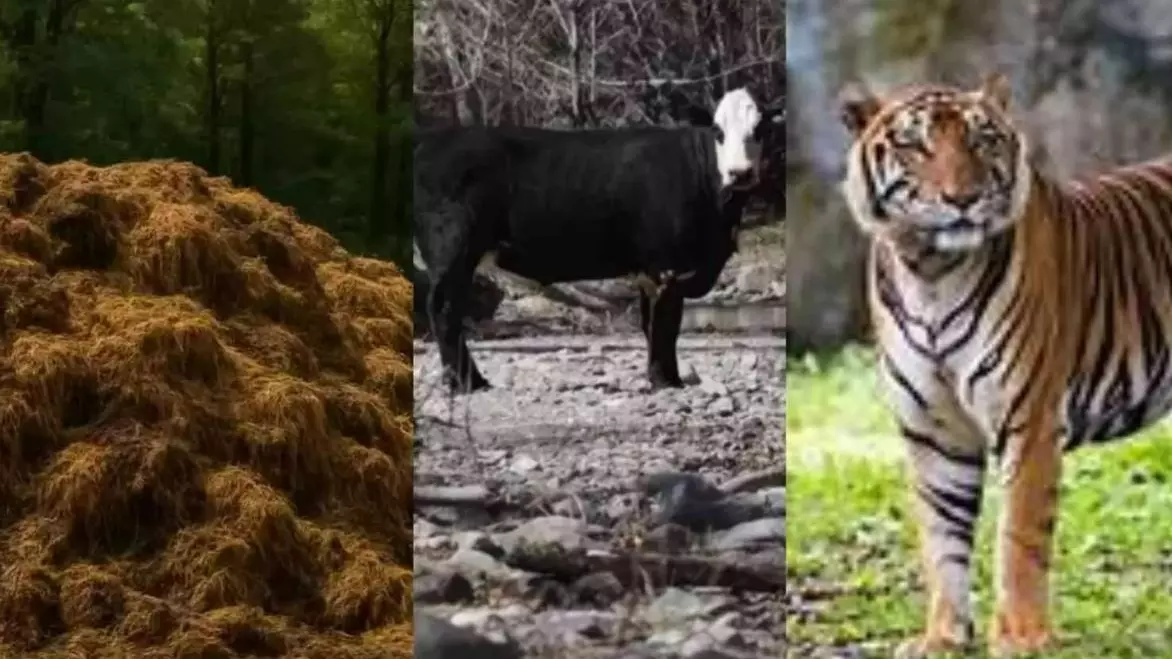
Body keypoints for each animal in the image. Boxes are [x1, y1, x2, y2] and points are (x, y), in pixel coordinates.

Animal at [414, 88, 783, 394]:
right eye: (718, 132)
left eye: (760, 130)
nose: (740, 173)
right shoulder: (667, 266)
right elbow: (665, 324)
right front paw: (667, 380)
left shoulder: (649, 271)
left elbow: (650, 322)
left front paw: (660, 377)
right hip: (453, 248)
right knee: (444, 309)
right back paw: (466, 383)